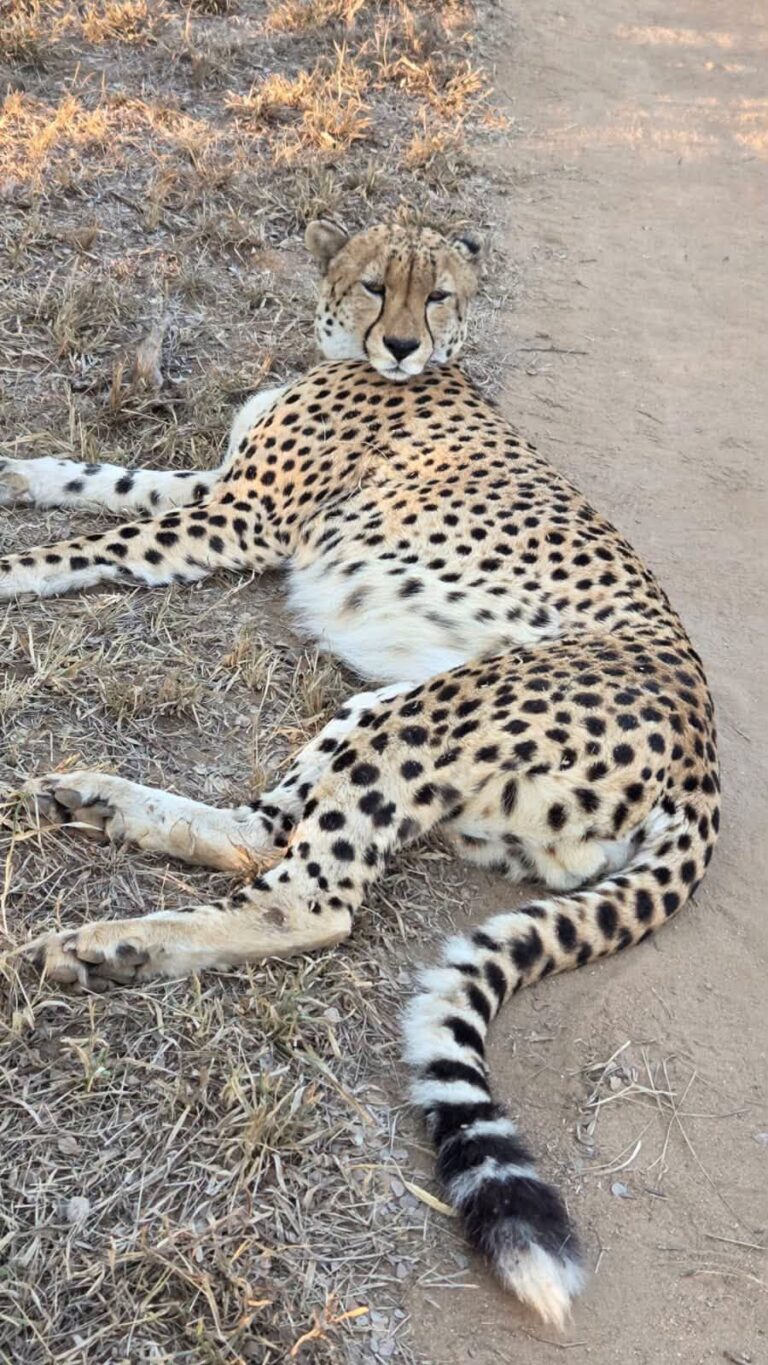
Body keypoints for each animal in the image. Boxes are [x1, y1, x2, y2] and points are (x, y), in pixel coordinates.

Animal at [0, 219, 720, 1329]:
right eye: (379, 285)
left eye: (440, 294)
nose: (402, 348)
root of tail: (705, 744)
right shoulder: (218, 490)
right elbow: (102, 479)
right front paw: (20, 471)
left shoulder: (238, 517)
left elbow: (99, 533)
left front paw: (6, 563)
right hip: (381, 706)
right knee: (265, 831)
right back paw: (107, 805)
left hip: (442, 707)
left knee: (311, 901)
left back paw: (111, 945)